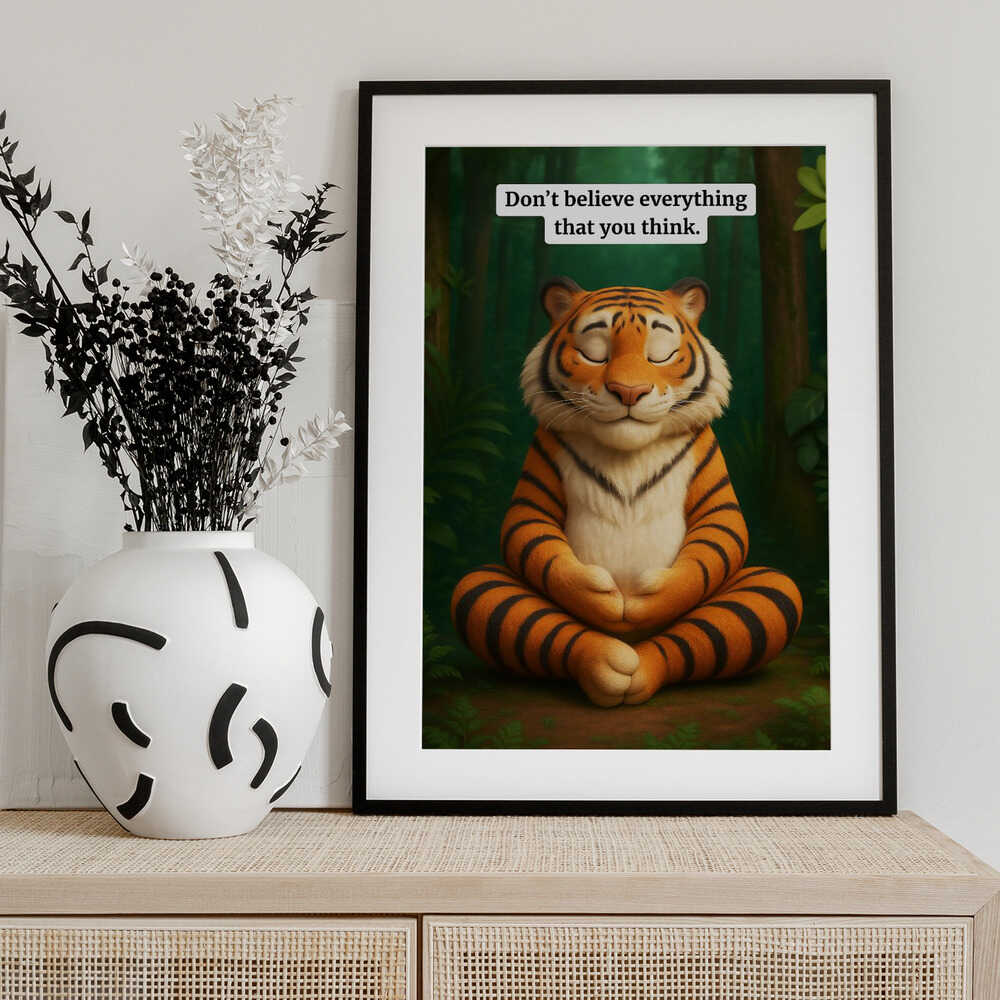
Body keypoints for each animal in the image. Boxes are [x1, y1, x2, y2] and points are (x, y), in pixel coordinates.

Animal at [450, 276, 803, 708]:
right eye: (595, 352)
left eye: (659, 353)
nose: (629, 391)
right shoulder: (537, 476)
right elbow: (530, 537)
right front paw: (602, 599)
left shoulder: (713, 479)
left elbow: (719, 541)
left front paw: (647, 600)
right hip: (481, 588)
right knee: (496, 598)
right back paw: (606, 662)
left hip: (770, 591)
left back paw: (639, 671)